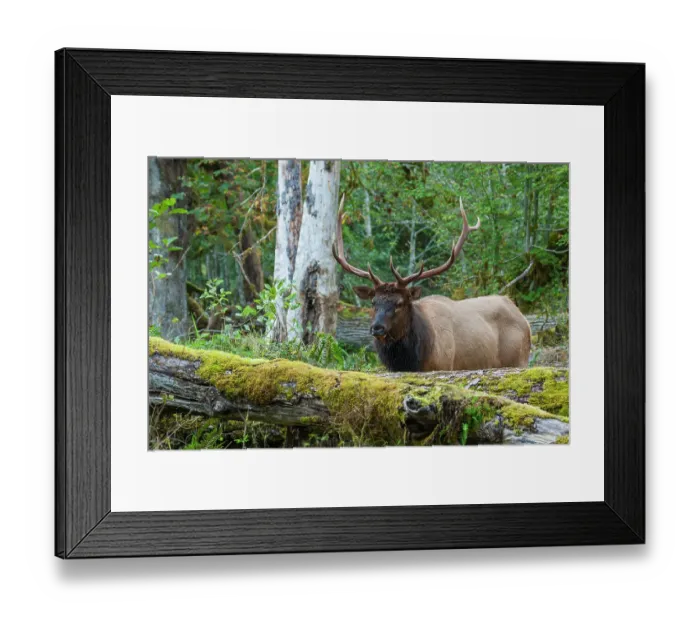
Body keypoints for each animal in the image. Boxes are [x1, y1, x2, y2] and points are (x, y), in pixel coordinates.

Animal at [332, 196, 531, 372]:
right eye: (374, 302)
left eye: (399, 303)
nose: (377, 327)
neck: (411, 361)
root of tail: (524, 319)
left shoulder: (444, 366)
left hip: (519, 360)